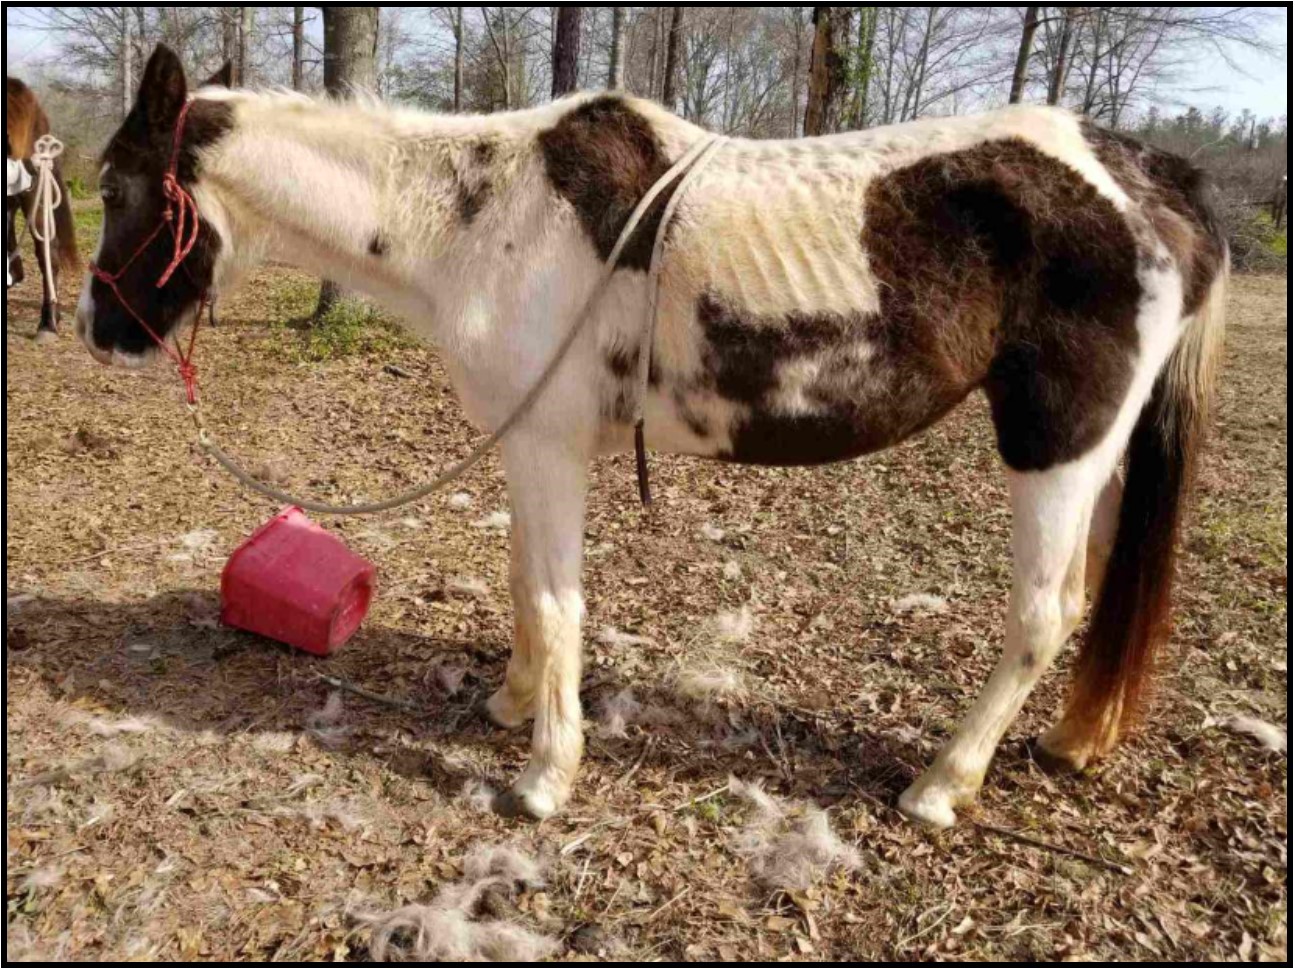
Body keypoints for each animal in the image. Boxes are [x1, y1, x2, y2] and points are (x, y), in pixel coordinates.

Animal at [75, 47, 1227, 823]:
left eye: (117, 187)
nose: (96, 332)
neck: (477, 217)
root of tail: (1157, 181)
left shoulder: (547, 448)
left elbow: (554, 599)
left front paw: (544, 777)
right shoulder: (528, 445)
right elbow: (522, 582)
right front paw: (511, 703)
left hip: (1053, 449)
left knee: (1039, 616)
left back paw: (940, 784)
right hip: (1097, 462)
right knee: (1087, 598)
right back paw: (1067, 740)